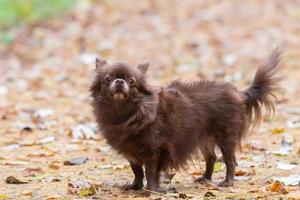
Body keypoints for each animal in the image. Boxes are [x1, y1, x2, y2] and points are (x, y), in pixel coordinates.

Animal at [90, 49, 282, 191]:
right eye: (107, 79)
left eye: (131, 81)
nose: (119, 81)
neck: (125, 113)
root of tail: (238, 93)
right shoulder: (132, 152)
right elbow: (137, 170)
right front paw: (135, 186)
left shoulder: (153, 151)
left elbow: (150, 172)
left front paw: (151, 190)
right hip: (204, 138)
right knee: (211, 157)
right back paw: (205, 178)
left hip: (226, 137)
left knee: (230, 160)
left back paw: (227, 182)